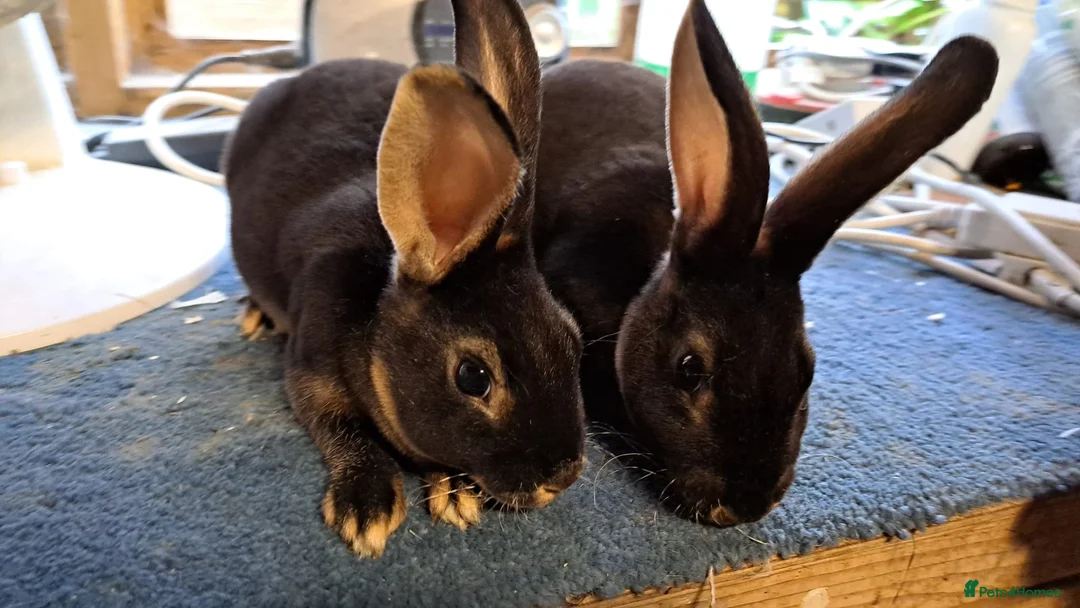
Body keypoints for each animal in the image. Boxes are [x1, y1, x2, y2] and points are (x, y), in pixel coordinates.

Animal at [224, 0, 586, 558]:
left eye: (573, 338)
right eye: (473, 377)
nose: (563, 478)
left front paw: (453, 490)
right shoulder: (310, 370)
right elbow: (338, 426)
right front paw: (367, 506)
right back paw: (254, 314)